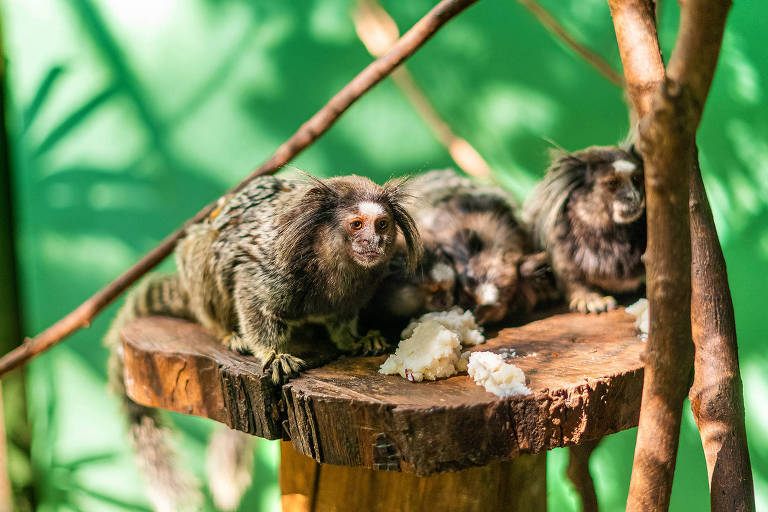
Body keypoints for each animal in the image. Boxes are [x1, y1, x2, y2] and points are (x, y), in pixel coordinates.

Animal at [103, 173, 420, 512]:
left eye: (382, 224)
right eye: (357, 224)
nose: (374, 242)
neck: (332, 264)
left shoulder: (353, 292)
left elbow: (342, 320)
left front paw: (355, 339)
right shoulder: (268, 269)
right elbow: (251, 297)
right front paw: (274, 354)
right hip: (198, 270)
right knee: (206, 253)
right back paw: (228, 333)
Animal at [524, 144, 644, 312]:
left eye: (636, 180)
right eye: (613, 183)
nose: (633, 197)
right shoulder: (560, 243)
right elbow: (570, 277)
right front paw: (588, 297)